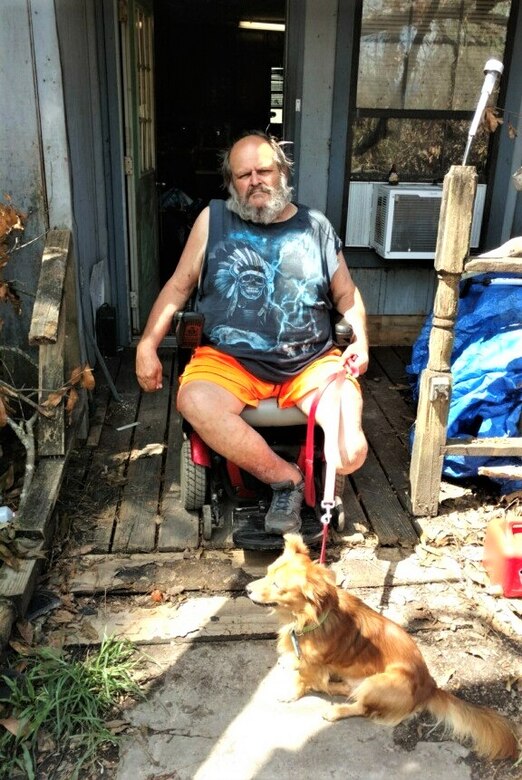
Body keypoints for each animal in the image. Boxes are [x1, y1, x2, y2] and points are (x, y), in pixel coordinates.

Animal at [246, 532, 516, 760]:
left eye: (278, 586)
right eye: (267, 572)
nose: (247, 589)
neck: (309, 617)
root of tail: (429, 686)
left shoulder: (313, 663)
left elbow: (302, 680)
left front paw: (291, 692)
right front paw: (290, 662)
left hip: (381, 682)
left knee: (362, 707)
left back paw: (335, 709)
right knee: (349, 690)